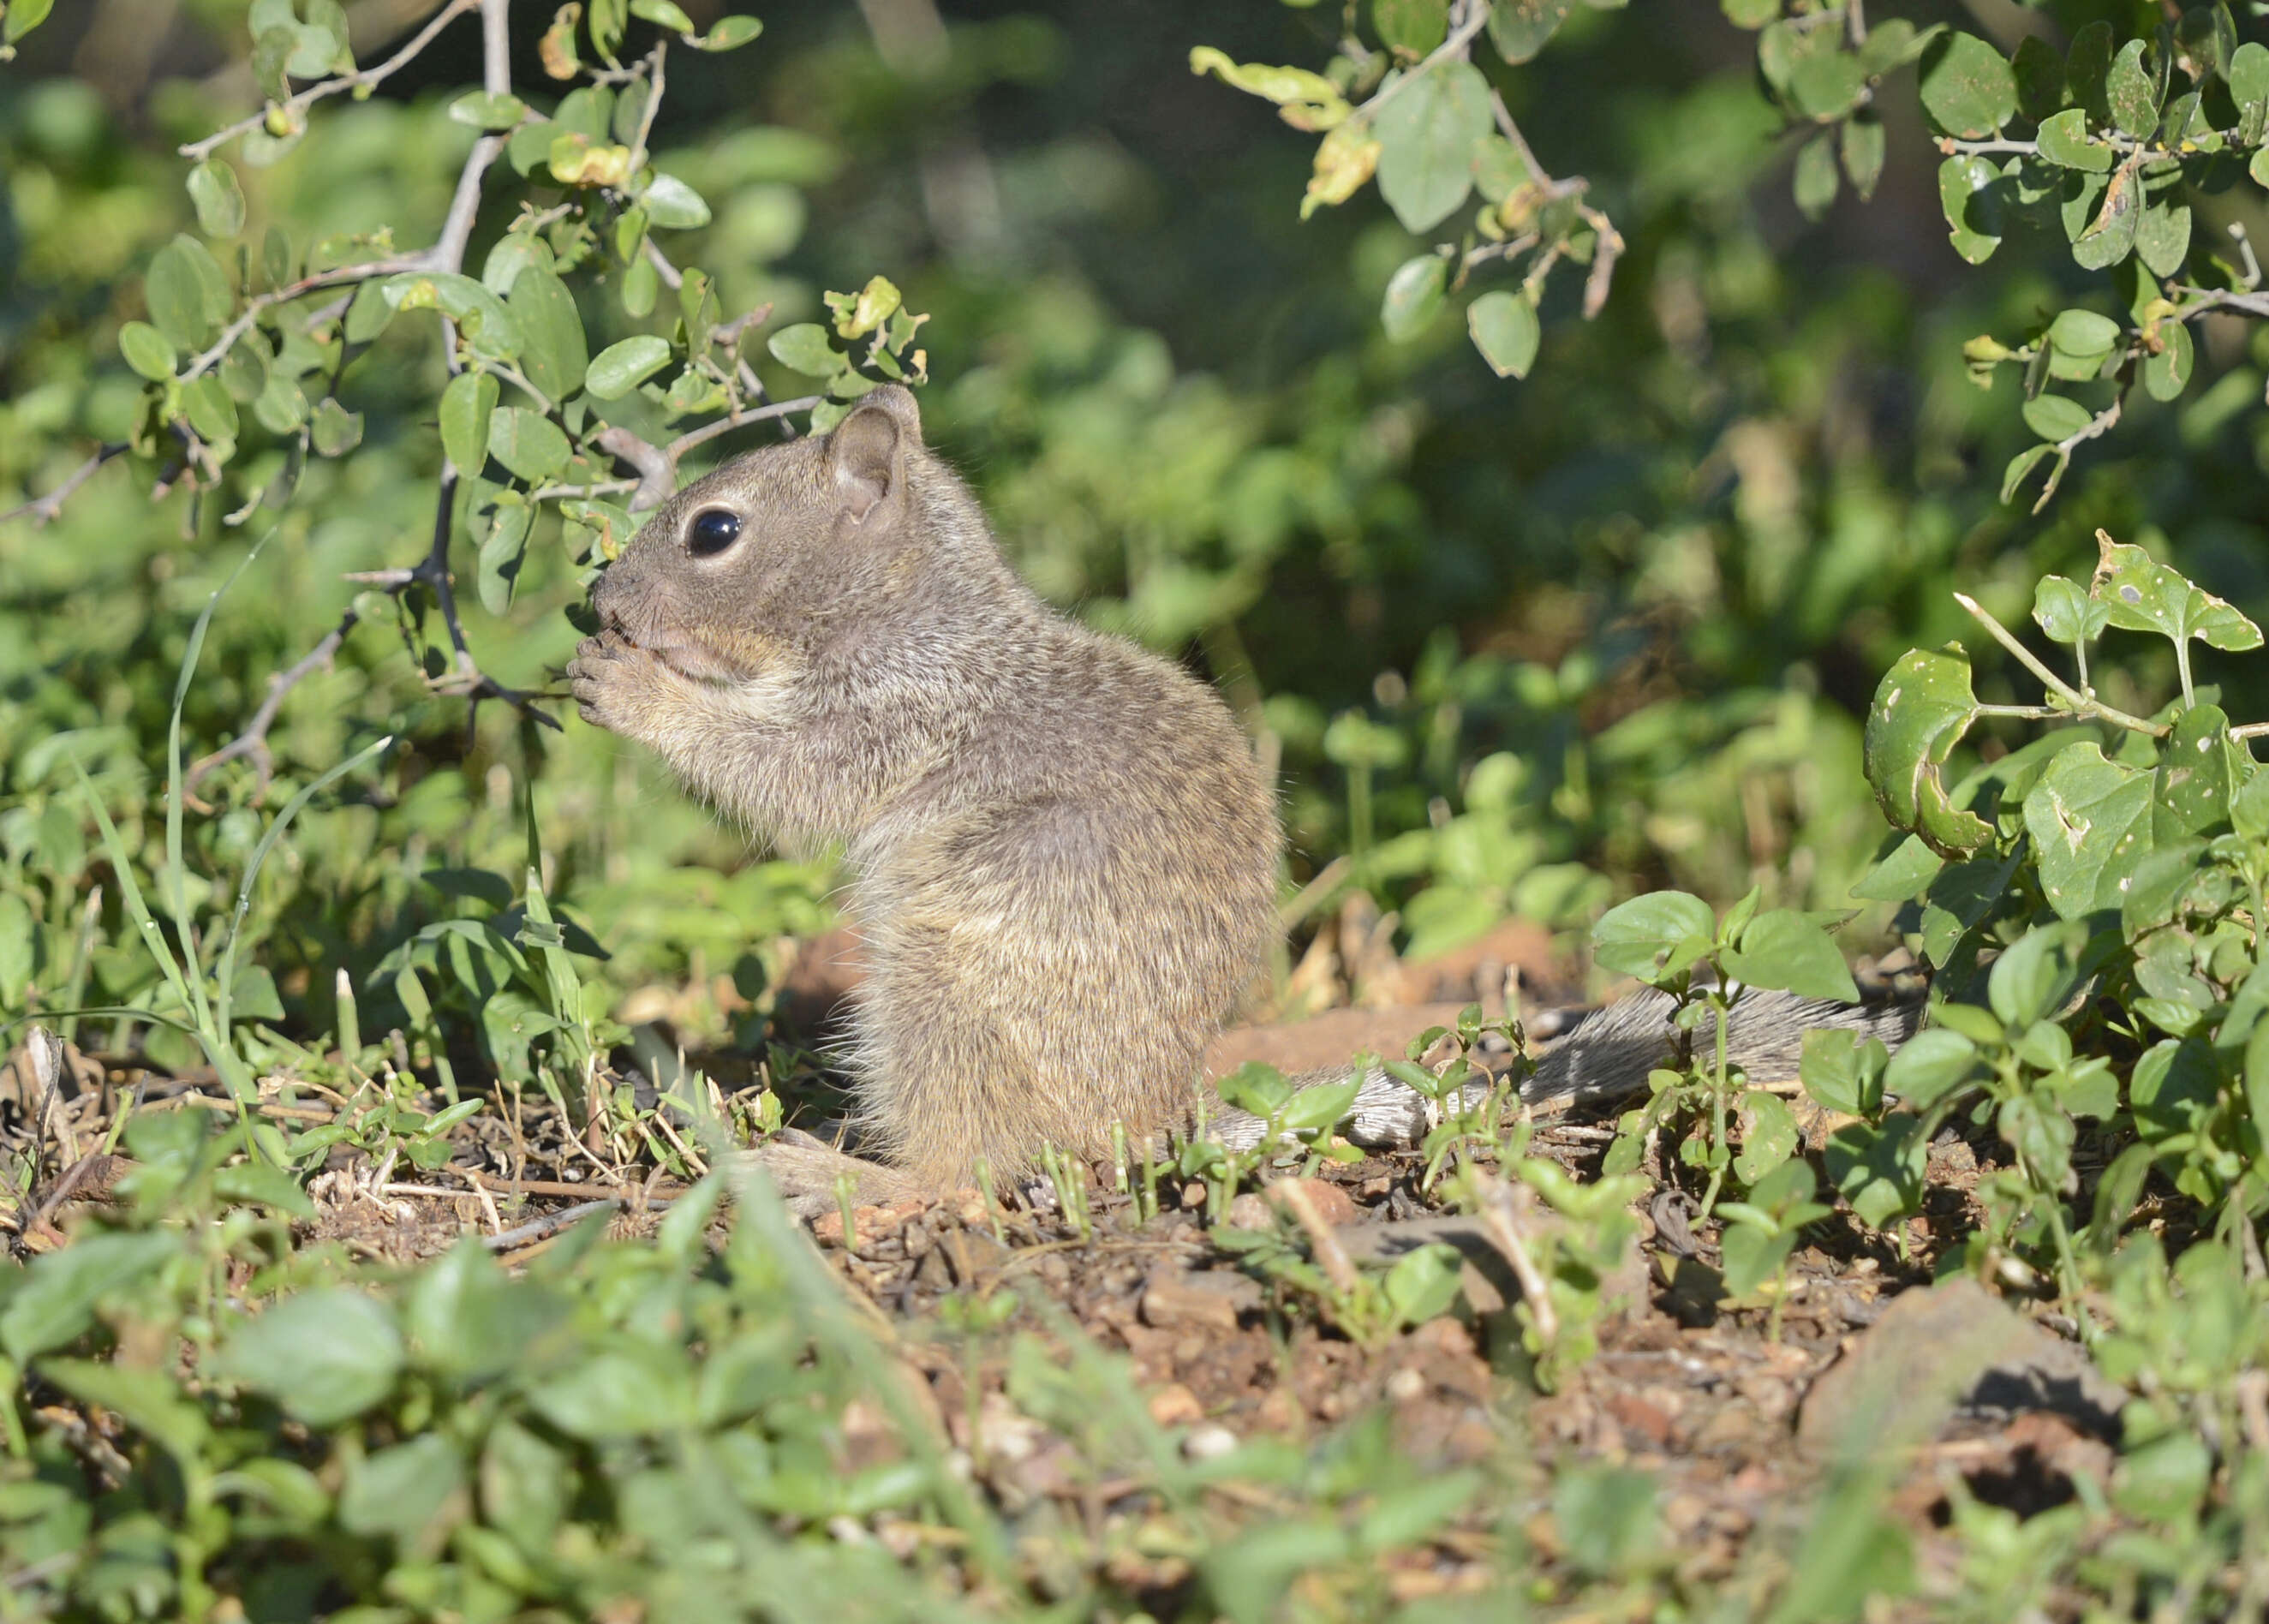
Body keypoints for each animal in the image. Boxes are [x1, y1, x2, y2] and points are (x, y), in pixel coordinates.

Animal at [571, 387, 1914, 1206]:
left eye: (715, 530)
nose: (602, 604)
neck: (915, 614)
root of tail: (1156, 1119)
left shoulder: (887, 715)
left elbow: (788, 777)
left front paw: (636, 691)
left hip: (943, 1000)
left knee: (972, 1169)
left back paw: (847, 1176)